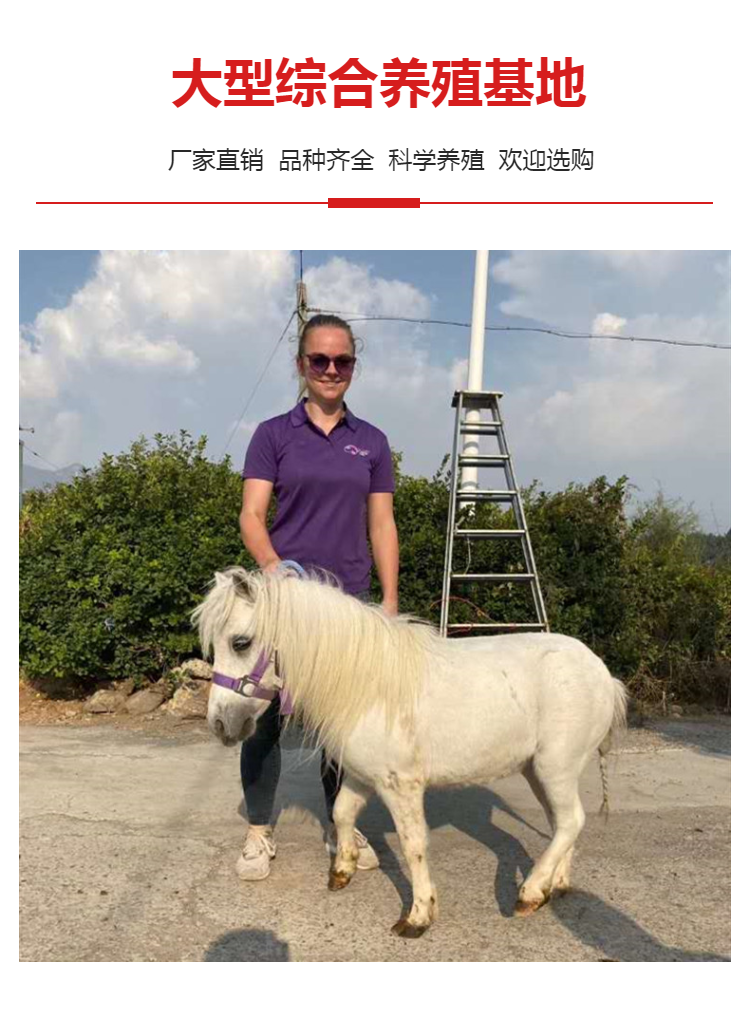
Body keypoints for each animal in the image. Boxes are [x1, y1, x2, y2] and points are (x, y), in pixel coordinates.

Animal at [193, 567, 627, 938]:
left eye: (241, 642)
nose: (220, 724)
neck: (366, 684)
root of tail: (604, 673)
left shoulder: (401, 786)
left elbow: (413, 844)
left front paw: (418, 916)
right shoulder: (362, 776)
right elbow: (342, 813)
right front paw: (343, 871)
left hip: (555, 767)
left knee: (571, 820)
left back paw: (531, 892)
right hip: (539, 770)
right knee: (564, 822)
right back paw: (556, 884)